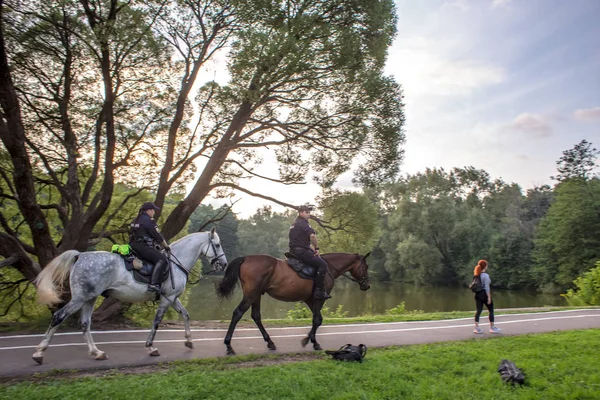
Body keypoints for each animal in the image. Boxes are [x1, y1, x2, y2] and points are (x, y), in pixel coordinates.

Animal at [32, 227, 227, 364]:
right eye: (217, 245)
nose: (224, 264)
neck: (176, 262)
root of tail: (80, 255)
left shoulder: (172, 298)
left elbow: (185, 315)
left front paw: (189, 341)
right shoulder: (167, 299)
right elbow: (156, 322)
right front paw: (151, 347)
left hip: (90, 298)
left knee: (85, 323)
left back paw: (97, 353)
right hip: (79, 299)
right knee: (58, 316)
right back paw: (39, 352)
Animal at [216, 252, 370, 354]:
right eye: (366, 267)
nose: (367, 285)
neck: (328, 268)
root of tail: (246, 258)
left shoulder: (311, 300)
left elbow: (317, 319)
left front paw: (310, 340)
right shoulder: (318, 299)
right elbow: (317, 320)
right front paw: (311, 341)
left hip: (256, 295)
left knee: (256, 316)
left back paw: (270, 342)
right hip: (251, 294)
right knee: (238, 313)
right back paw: (229, 345)